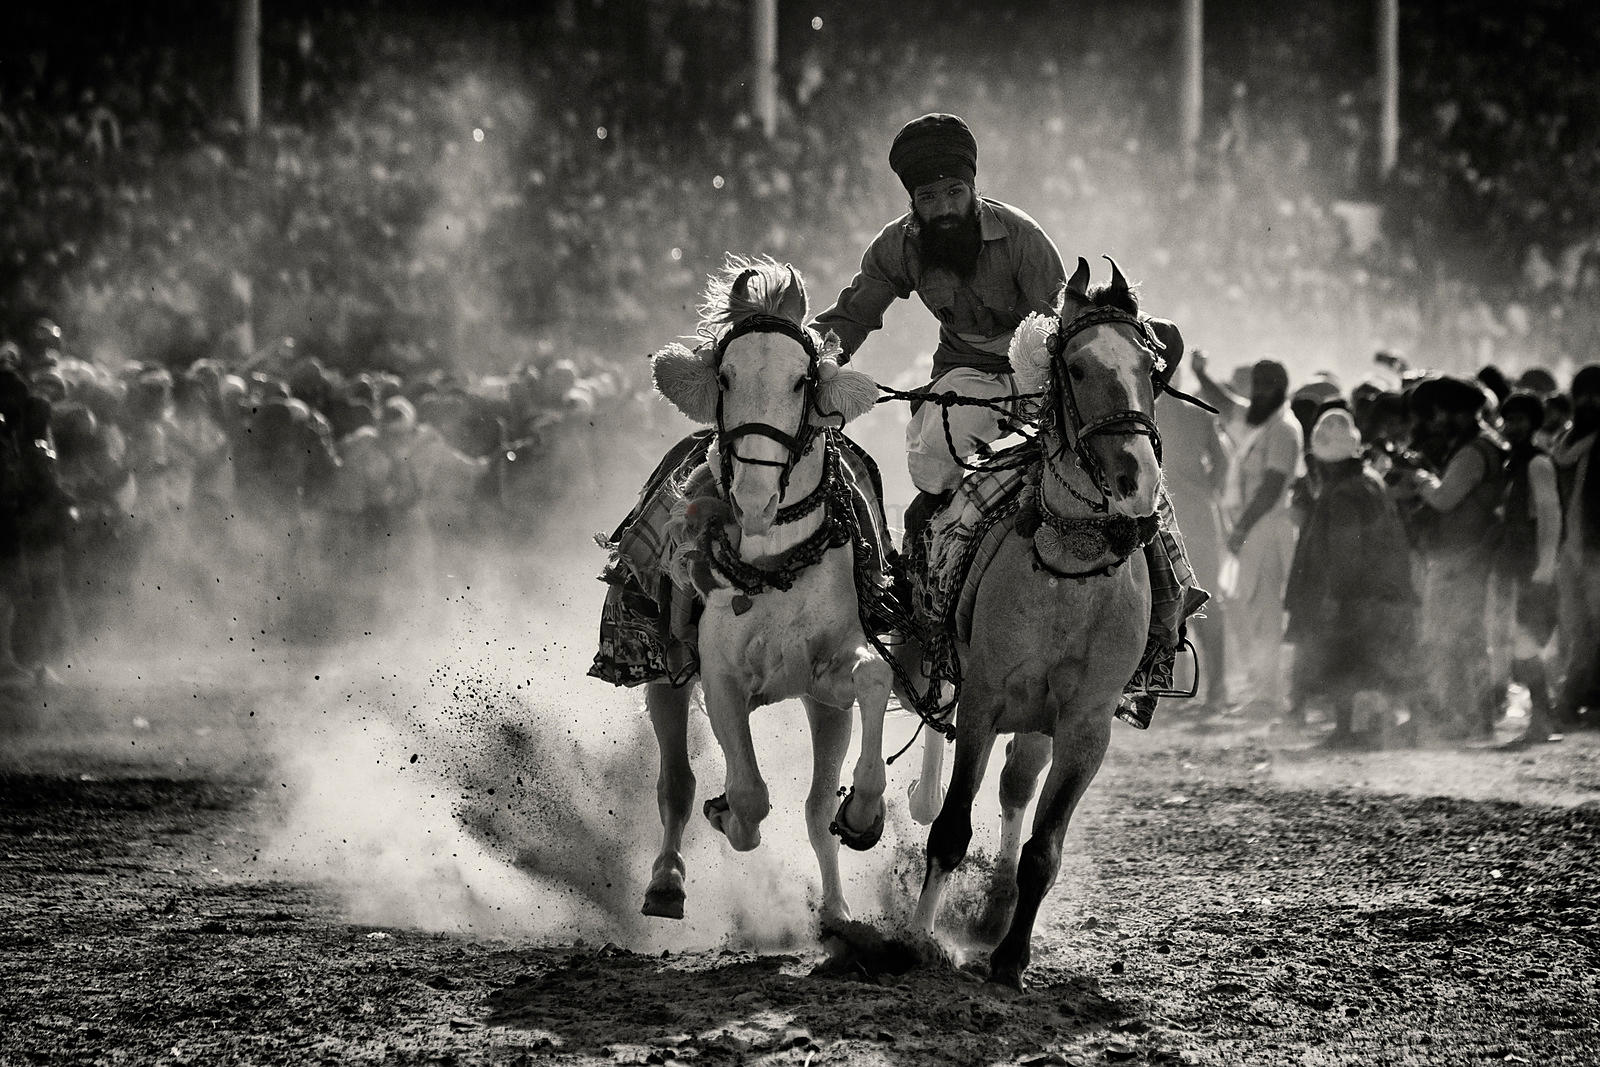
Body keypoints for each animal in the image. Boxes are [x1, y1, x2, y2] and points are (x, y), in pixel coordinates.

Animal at [638, 256, 891, 928]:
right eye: (724, 376)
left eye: (802, 380)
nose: (753, 499)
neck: (776, 564)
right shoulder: (721, 675)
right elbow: (749, 794)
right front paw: (729, 813)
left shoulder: (828, 681)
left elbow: (873, 680)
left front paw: (863, 813)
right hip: (663, 674)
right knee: (676, 784)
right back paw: (666, 879)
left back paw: (835, 908)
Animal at [910, 256, 1168, 990]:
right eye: (1076, 368)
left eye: (1149, 368)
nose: (1136, 481)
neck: (1069, 570)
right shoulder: (985, 695)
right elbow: (950, 828)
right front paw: (913, 936)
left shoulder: (1086, 724)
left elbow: (1043, 847)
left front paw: (1011, 955)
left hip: (1038, 718)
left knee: (1017, 786)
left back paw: (996, 907)